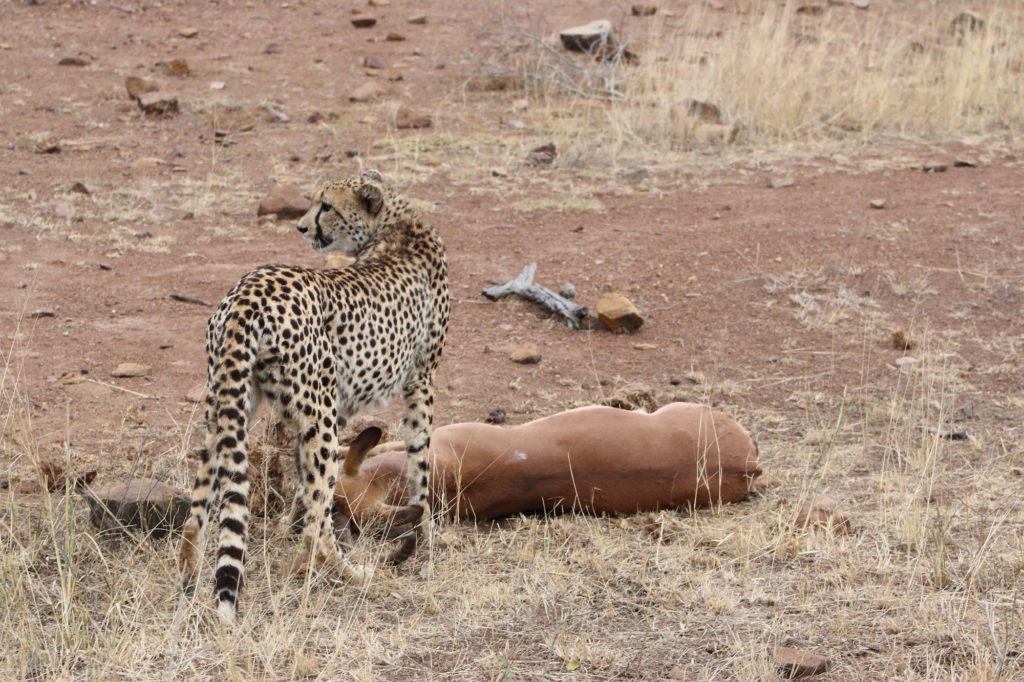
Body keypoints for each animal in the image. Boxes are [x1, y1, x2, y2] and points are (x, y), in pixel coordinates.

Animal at [179, 169, 448, 622]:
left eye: (327, 205)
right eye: (314, 203)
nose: (302, 227)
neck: (392, 224)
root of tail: (249, 289)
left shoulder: (336, 406)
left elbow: (302, 486)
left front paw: (285, 524)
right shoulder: (418, 381)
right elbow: (419, 462)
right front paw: (428, 530)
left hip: (231, 406)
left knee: (199, 509)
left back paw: (188, 580)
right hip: (317, 415)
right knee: (317, 532)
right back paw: (352, 573)